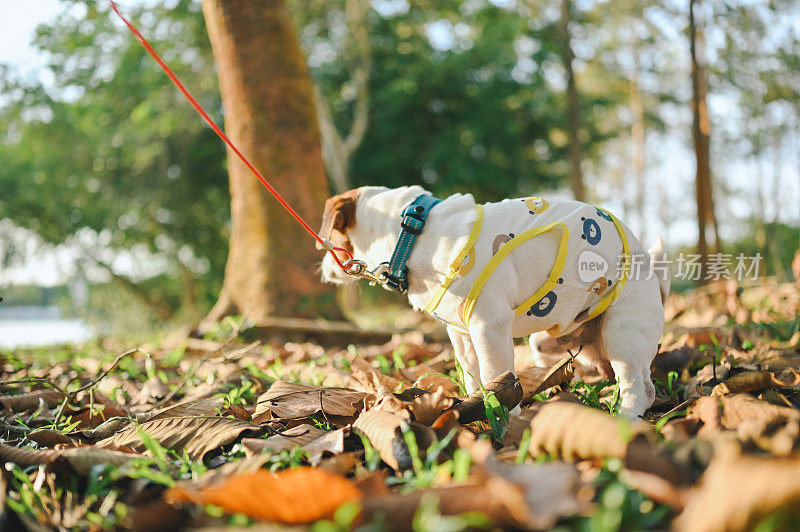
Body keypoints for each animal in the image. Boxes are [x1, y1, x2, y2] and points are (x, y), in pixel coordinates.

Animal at [318, 186, 668, 420]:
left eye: (331, 238)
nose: (322, 266)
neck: (414, 232)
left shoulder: (488, 327)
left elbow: (494, 374)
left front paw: (503, 415)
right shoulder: (462, 333)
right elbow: (472, 372)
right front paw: (476, 400)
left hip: (623, 332)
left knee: (639, 385)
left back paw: (625, 417)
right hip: (548, 342)